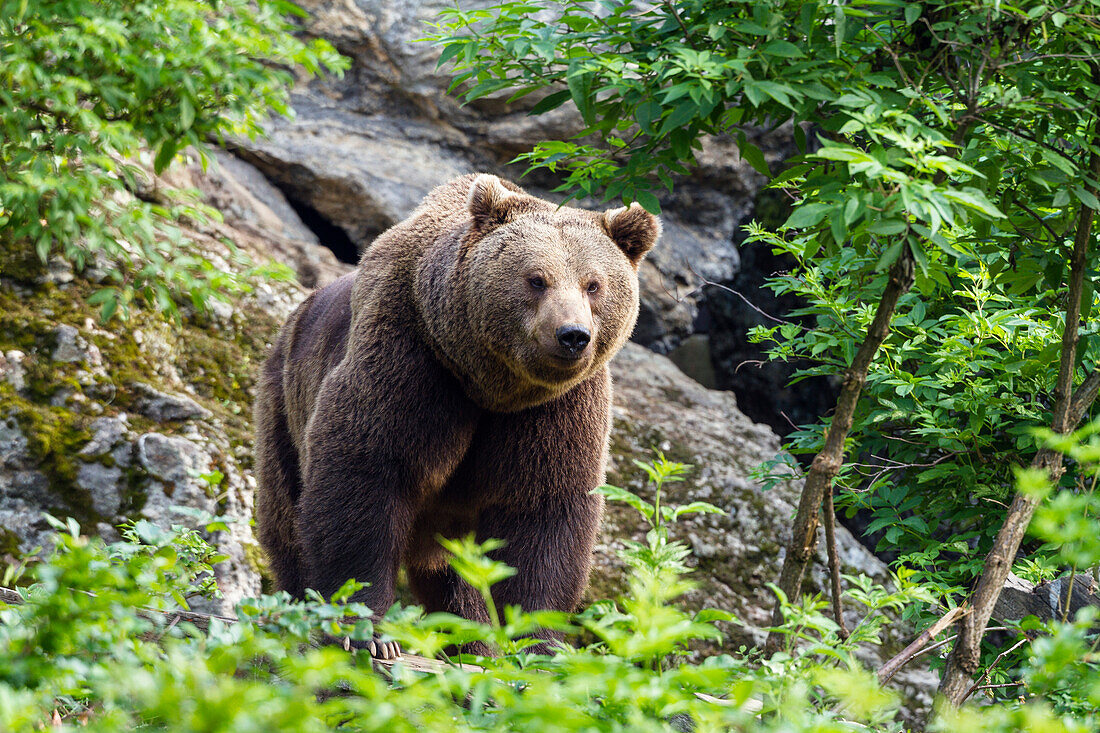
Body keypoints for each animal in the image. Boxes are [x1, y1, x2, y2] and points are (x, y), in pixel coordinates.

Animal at [253, 172, 655, 655]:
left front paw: (536, 643)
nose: (572, 335)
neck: (490, 383)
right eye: (536, 279)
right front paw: (367, 633)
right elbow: (366, 471)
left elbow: (543, 513)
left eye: (593, 284)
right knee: (287, 516)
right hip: (283, 399)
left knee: (455, 576)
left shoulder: (557, 406)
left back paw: (471, 640)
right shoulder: (412, 354)